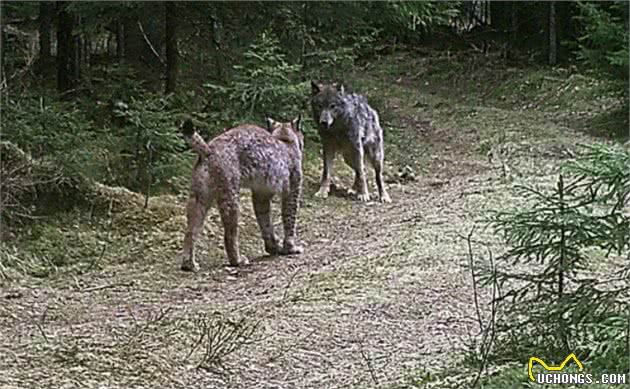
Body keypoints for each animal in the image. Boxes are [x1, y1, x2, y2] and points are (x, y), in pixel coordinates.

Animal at [180, 116, 306, 272]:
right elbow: (289, 219)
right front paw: (291, 248)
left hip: (199, 196)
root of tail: (210, 148)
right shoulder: (292, 190)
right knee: (229, 234)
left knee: (190, 231)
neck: (285, 139)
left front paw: (273, 248)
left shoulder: (261, 194)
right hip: (230, 194)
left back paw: (188, 264)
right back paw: (237, 260)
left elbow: (265, 222)